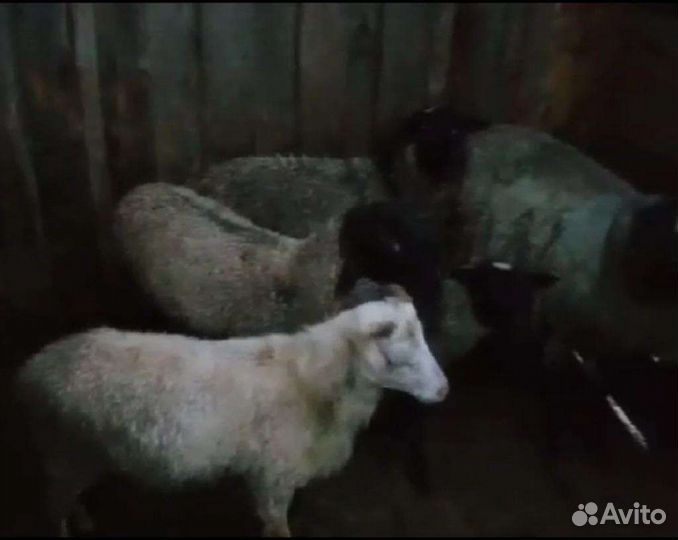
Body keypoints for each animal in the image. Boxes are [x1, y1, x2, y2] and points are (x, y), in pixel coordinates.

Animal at [14, 282, 449, 537]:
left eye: (425, 338)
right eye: (396, 358)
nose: (444, 391)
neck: (312, 379)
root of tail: (36, 366)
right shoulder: (272, 476)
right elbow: (277, 526)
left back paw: (85, 521)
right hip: (64, 452)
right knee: (54, 506)